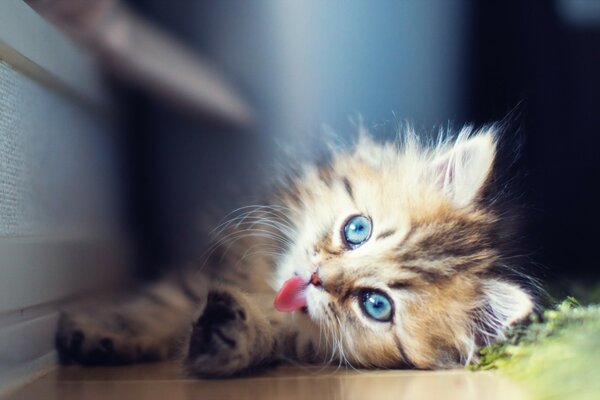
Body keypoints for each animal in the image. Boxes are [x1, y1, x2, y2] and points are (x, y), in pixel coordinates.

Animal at [55, 126, 536, 376]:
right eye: (356, 229)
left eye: (376, 304)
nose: (317, 276)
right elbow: (159, 304)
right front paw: (100, 331)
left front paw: (229, 336)